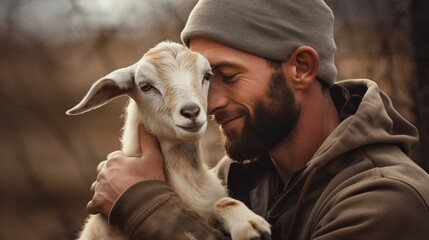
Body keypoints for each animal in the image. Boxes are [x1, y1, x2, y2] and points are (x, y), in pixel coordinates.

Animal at [66, 41, 270, 240]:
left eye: (207, 76)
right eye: (145, 86)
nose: (191, 112)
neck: (189, 182)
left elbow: (223, 202)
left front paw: (250, 223)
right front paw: (248, 227)